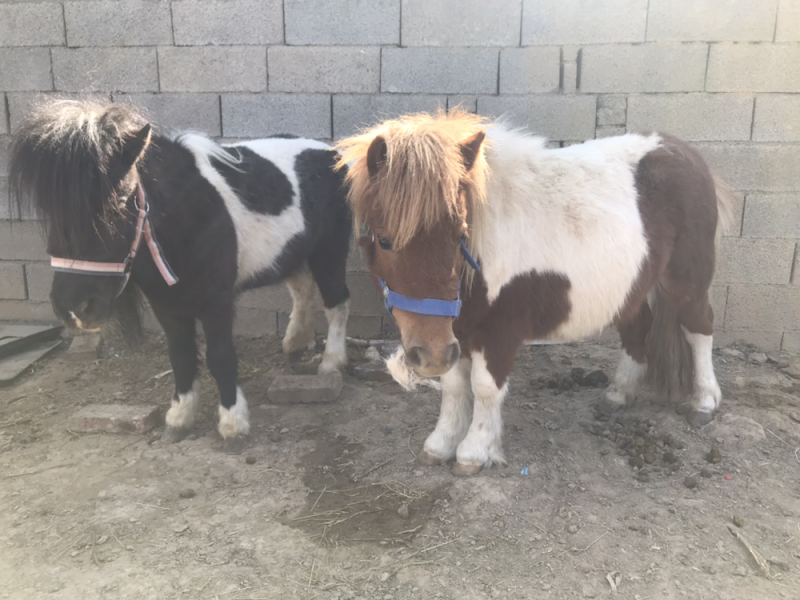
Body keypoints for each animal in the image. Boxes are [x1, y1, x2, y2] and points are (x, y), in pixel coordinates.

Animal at [10, 99, 352, 451]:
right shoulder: (166, 304)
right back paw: (296, 341)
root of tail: (332, 153)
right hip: (291, 254)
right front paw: (179, 417)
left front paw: (232, 423)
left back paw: (330, 363)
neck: (189, 216)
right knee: (302, 291)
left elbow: (220, 357)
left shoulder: (217, 302)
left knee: (336, 303)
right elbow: (181, 356)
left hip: (330, 251)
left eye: (116, 205)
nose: (74, 310)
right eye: (49, 210)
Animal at [335, 109, 734, 476]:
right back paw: (618, 394)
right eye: (385, 241)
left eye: (460, 234)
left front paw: (473, 452)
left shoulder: (497, 330)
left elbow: (484, 387)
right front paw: (440, 444)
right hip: (629, 286)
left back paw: (704, 403)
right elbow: (453, 387)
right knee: (639, 327)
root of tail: (683, 151)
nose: (428, 357)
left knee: (699, 327)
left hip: (687, 279)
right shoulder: (456, 332)